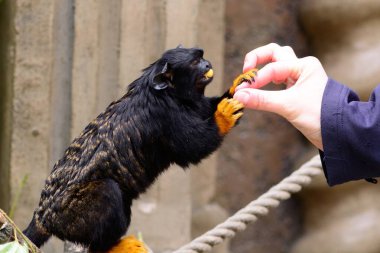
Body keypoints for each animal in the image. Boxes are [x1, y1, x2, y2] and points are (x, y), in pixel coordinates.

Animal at [23, 46, 255, 252]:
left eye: (203, 57)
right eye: (196, 62)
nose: (208, 64)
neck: (169, 93)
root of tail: (43, 217)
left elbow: (206, 109)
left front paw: (237, 86)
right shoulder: (165, 115)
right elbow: (194, 147)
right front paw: (224, 114)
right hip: (72, 214)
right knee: (108, 191)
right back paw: (111, 246)